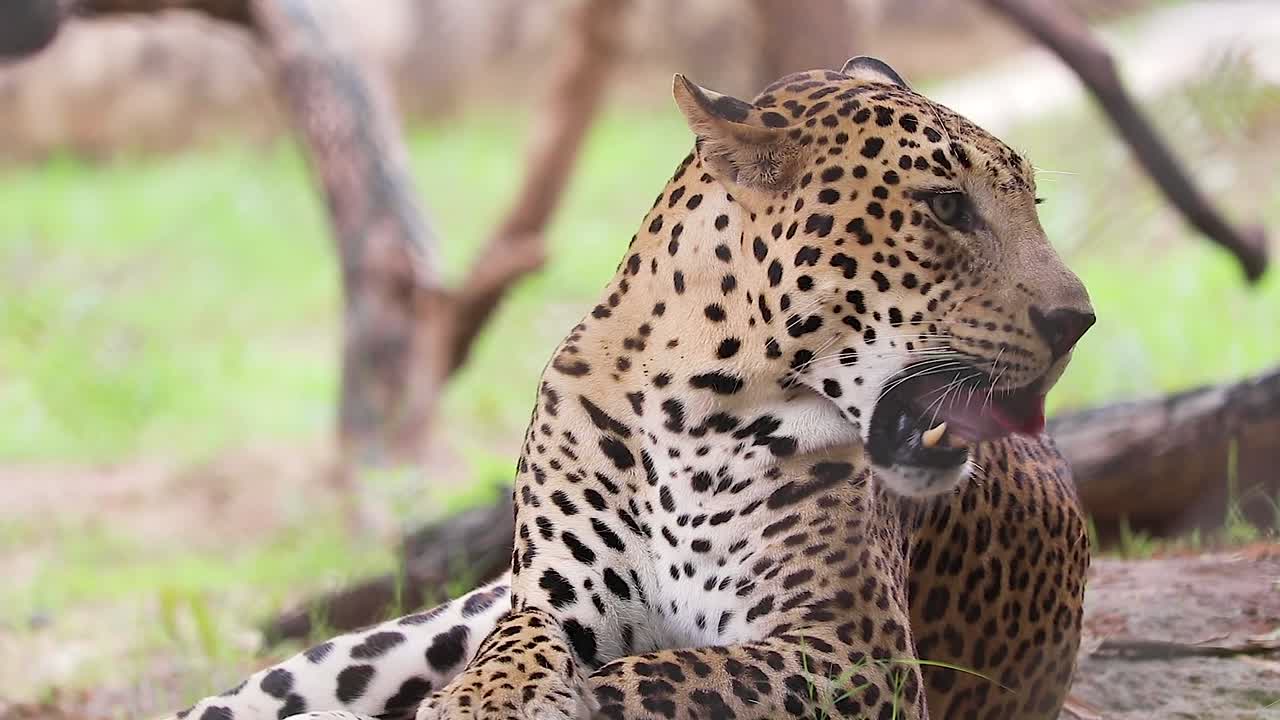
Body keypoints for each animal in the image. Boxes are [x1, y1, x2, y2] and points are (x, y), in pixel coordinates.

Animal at [164, 56, 1094, 720]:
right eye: (945, 206)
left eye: (1034, 204)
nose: (1077, 321)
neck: (703, 405)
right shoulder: (549, 598)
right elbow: (517, 649)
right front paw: (484, 698)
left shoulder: (854, 650)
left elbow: (671, 671)